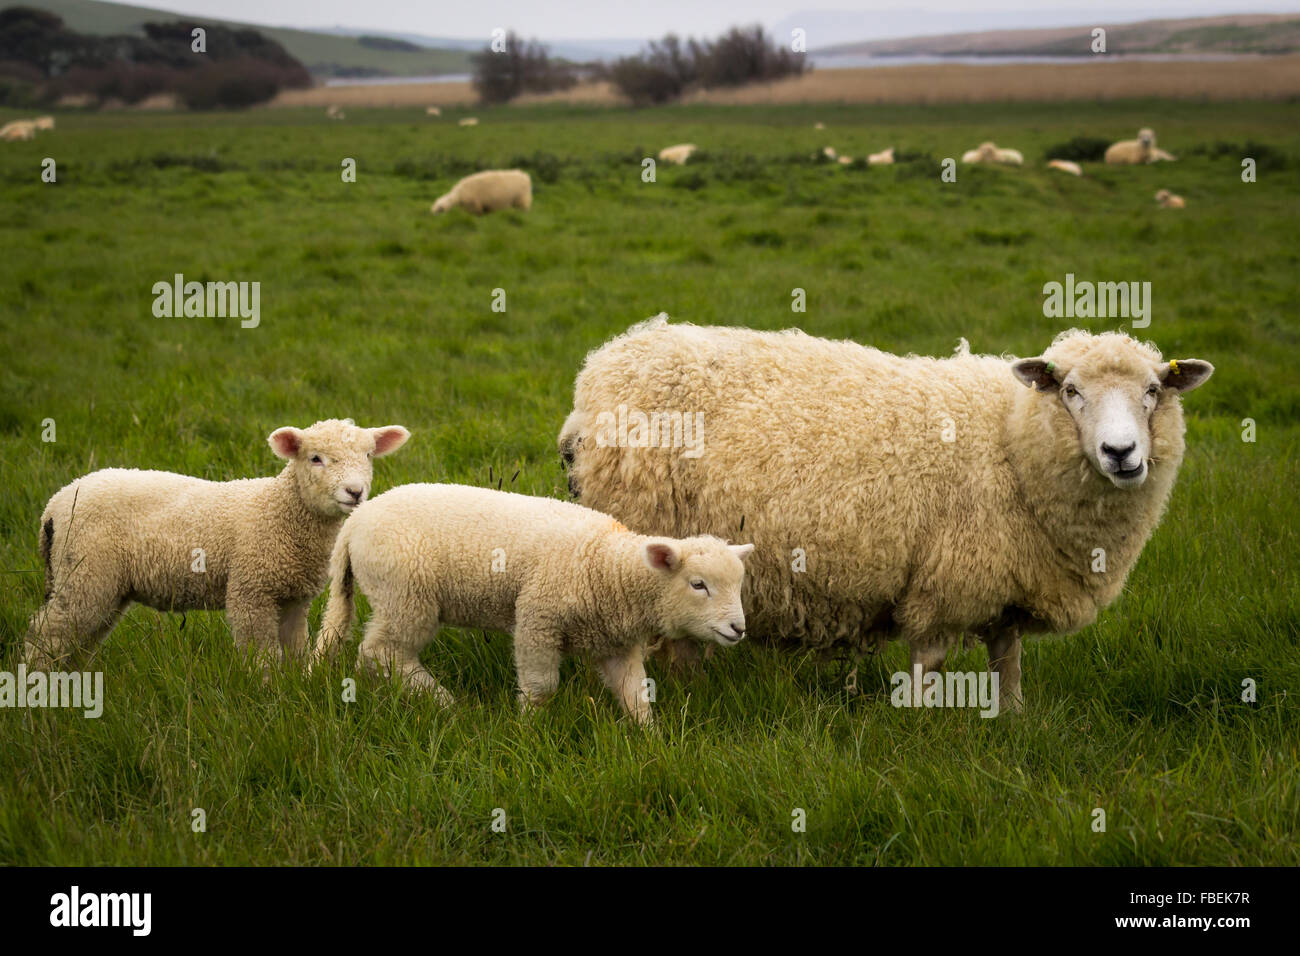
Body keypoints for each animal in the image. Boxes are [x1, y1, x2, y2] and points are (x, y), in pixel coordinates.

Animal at [24, 419, 410, 670]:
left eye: (369, 456)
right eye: (315, 458)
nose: (355, 491)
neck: (280, 510)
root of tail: (53, 507)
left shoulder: (292, 599)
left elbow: (294, 651)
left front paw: (294, 688)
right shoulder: (251, 591)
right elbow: (261, 655)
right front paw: (268, 694)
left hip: (98, 583)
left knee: (78, 640)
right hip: (85, 574)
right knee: (47, 635)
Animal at [310, 483, 753, 723]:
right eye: (698, 585)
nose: (739, 629)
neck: (607, 565)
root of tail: (354, 524)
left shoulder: (616, 644)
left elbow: (635, 694)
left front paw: (650, 739)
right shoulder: (538, 618)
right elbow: (541, 686)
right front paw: (528, 726)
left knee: (372, 654)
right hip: (406, 595)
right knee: (382, 651)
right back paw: (445, 702)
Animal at [559, 318, 1214, 713]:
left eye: (1154, 391)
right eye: (1071, 391)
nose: (1122, 453)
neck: (1010, 439)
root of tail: (600, 370)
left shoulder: (1003, 583)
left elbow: (1009, 665)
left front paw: (1014, 722)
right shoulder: (945, 582)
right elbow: (930, 665)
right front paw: (921, 726)